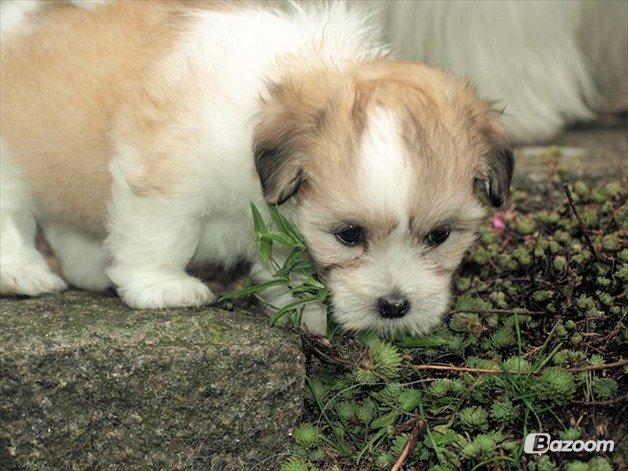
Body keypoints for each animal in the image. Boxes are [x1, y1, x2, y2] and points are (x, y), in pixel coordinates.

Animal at [0, 1, 512, 338]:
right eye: (349, 235)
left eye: (440, 236)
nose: (394, 306)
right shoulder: (164, 171)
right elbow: (163, 232)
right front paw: (161, 287)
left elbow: (287, 263)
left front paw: (300, 309)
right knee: (13, 221)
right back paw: (24, 274)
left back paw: (91, 269)